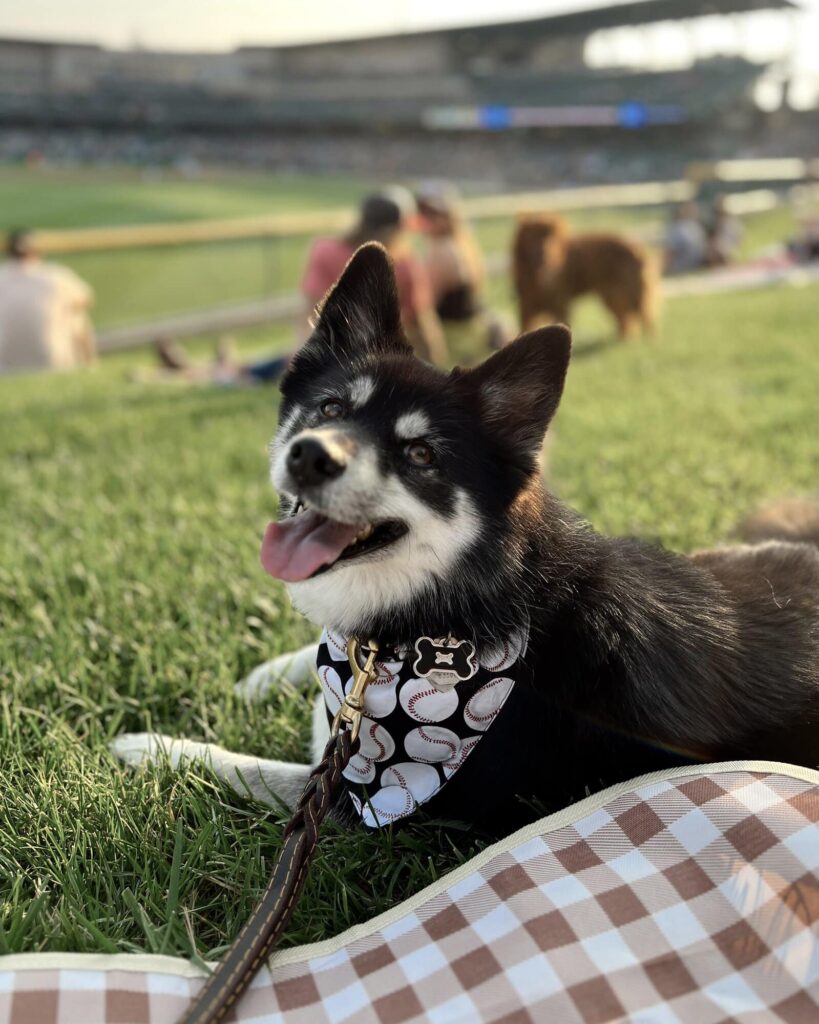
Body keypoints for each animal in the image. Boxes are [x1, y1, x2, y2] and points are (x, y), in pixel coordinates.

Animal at [515, 214, 663, 337]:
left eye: (551, 239)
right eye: (531, 238)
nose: (544, 255)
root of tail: (638, 248)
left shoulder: (559, 304)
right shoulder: (527, 305)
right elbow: (524, 330)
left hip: (633, 295)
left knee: (645, 318)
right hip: (613, 297)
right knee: (627, 320)